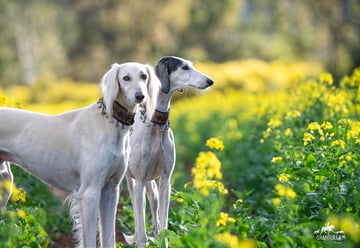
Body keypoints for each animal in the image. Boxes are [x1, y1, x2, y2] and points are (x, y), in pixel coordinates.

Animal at [0, 61, 160, 247]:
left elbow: (109, 237)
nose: (140, 96)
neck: (109, 123)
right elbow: (90, 240)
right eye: (126, 78)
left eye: (144, 76)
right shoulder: (90, 193)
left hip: (5, 184)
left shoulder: (111, 190)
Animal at [125, 56, 212, 248]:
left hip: (153, 190)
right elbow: (141, 233)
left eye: (191, 65)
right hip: (130, 184)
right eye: (184, 67)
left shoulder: (165, 182)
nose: (211, 81)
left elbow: (163, 227)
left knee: (155, 224)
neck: (155, 123)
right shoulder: (139, 181)